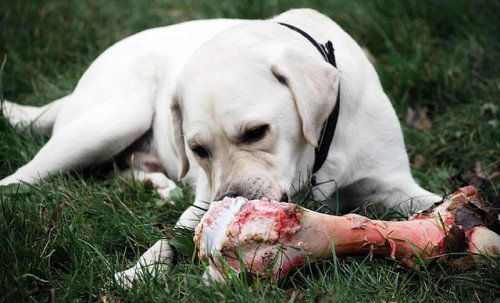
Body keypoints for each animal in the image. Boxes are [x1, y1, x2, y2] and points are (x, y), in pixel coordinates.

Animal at [0, 8, 438, 286]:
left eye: (257, 132)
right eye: (199, 150)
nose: (229, 200)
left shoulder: (395, 184)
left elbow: (430, 204)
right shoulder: (201, 201)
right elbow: (170, 237)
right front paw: (138, 272)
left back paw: (156, 184)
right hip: (110, 121)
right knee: (22, 177)